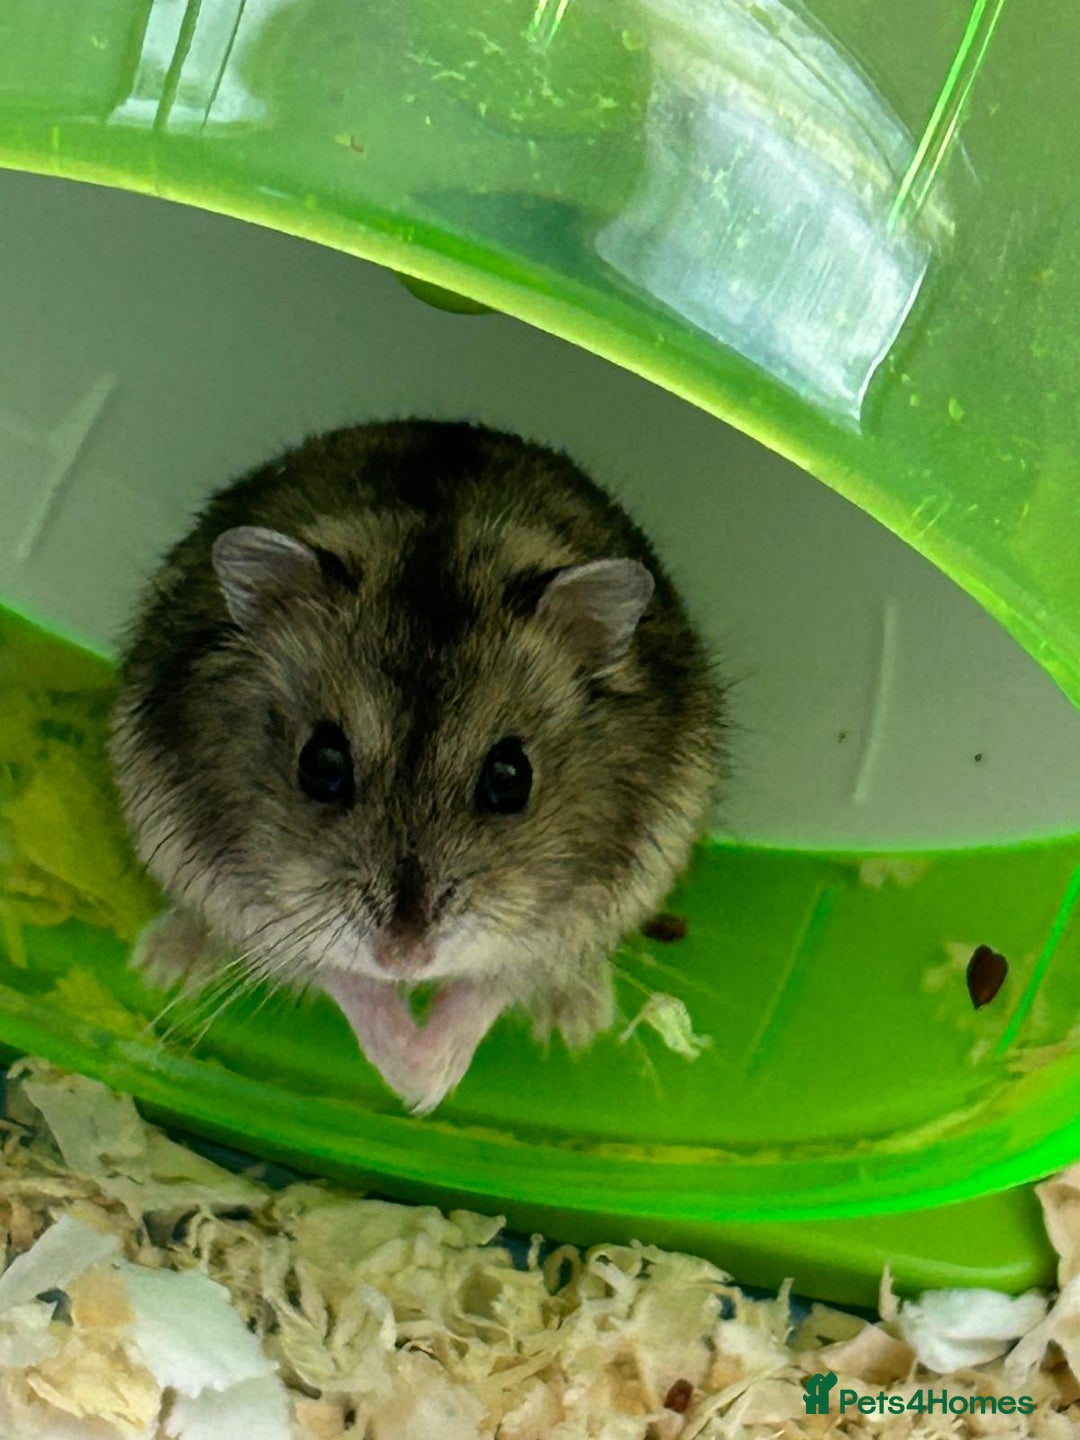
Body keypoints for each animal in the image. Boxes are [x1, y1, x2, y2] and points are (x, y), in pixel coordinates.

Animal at [110, 421, 725, 1113]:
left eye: (510, 778)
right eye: (321, 764)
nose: (403, 958)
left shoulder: (581, 910)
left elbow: (491, 984)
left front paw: (432, 1082)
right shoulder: (247, 900)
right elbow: (340, 974)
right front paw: (417, 1083)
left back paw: (575, 1019)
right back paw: (165, 965)